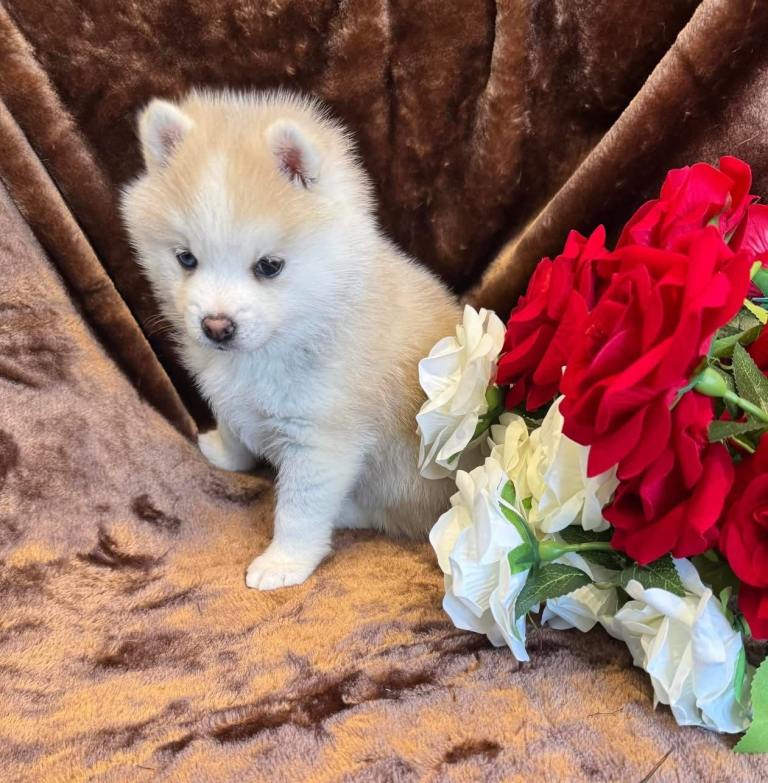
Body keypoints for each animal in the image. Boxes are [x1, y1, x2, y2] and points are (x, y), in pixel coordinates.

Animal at [121, 89, 460, 589]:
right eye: (186, 258)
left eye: (268, 266)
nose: (216, 326)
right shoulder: (231, 395)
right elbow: (232, 423)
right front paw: (226, 453)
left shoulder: (319, 443)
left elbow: (298, 511)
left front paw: (284, 562)